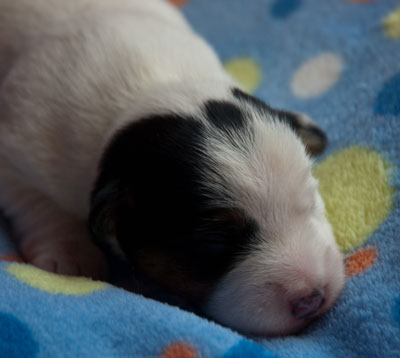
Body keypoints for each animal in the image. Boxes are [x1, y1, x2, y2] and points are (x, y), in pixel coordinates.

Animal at [0, 0, 344, 336]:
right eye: (214, 240)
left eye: (311, 200)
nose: (312, 299)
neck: (154, 88)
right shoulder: (17, 148)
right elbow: (37, 204)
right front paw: (70, 254)